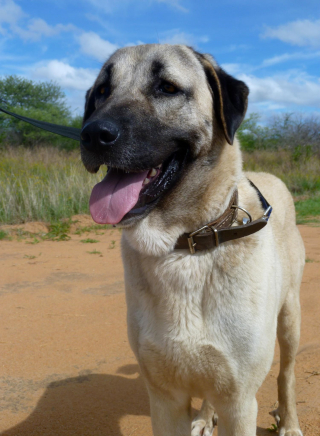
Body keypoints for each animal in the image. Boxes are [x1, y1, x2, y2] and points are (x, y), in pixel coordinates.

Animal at [80, 44, 304, 436]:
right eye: (102, 91)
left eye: (167, 87)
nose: (91, 134)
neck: (186, 245)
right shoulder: (164, 398)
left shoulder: (239, 403)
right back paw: (203, 417)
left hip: (290, 319)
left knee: (286, 375)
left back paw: (289, 422)